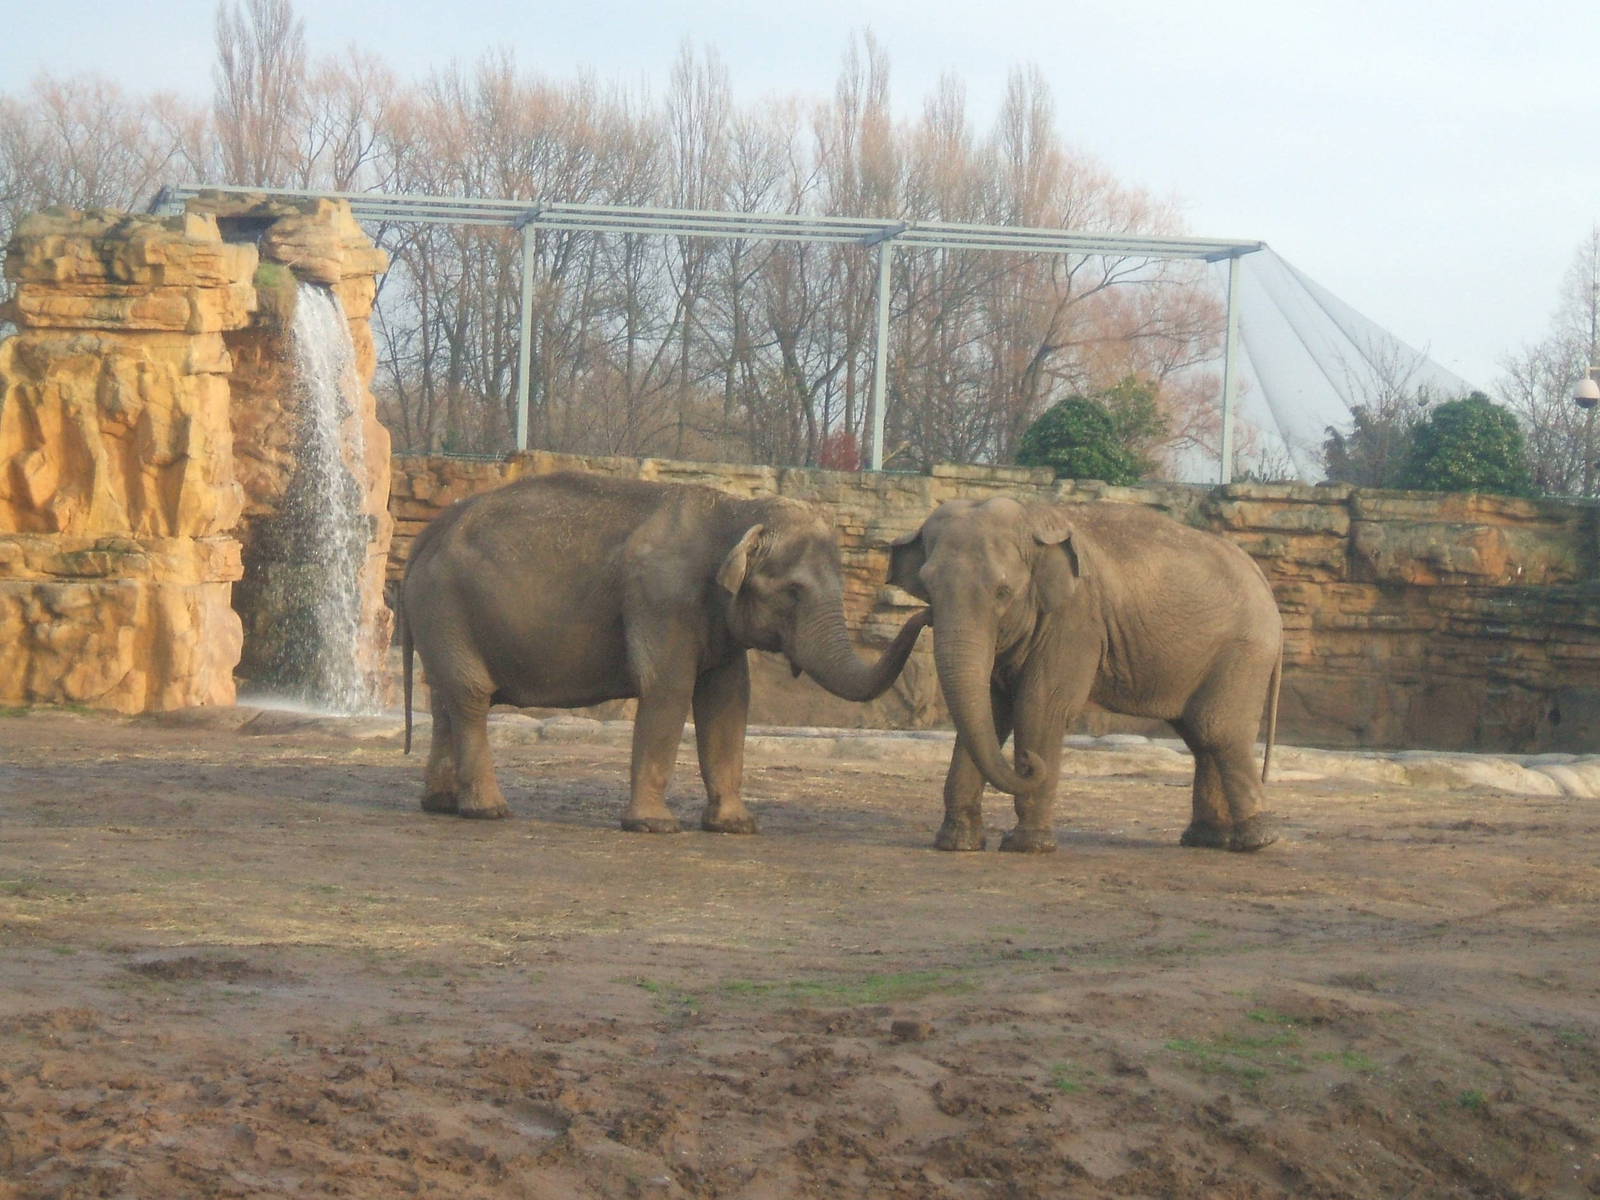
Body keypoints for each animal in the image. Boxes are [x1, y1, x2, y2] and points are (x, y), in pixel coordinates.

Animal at [400, 471, 930, 831]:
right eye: (794, 592)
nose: (926, 613)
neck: (737, 511)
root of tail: (428, 535)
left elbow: (728, 701)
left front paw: (736, 826)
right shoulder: (660, 598)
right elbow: (669, 688)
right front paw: (655, 826)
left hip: (442, 617)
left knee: (445, 699)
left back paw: (442, 804)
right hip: (446, 606)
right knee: (470, 695)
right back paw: (490, 811)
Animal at [888, 496, 1282, 854]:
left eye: (1003, 592)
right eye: (927, 589)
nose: (1028, 763)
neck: (1033, 518)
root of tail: (1262, 580)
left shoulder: (1076, 618)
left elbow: (1040, 705)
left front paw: (1027, 846)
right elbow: (990, 709)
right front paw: (957, 844)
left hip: (1244, 650)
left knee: (1217, 729)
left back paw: (1256, 840)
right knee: (1199, 734)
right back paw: (1207, 839)